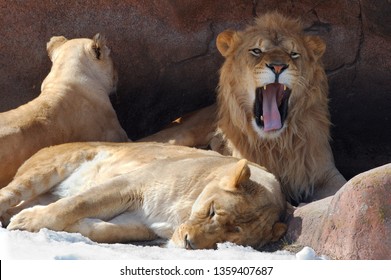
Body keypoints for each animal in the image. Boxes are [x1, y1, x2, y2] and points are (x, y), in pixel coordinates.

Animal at [0, 142, 288, 249]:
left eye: (226, 239)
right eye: (212, 211)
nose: (189, 243)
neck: (179, 215)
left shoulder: (142, 223)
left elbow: (106, 231)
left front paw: (75, 228)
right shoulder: (129, 184)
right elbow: (75, 204)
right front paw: (27, 222)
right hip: (48, 169)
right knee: (8, 195)